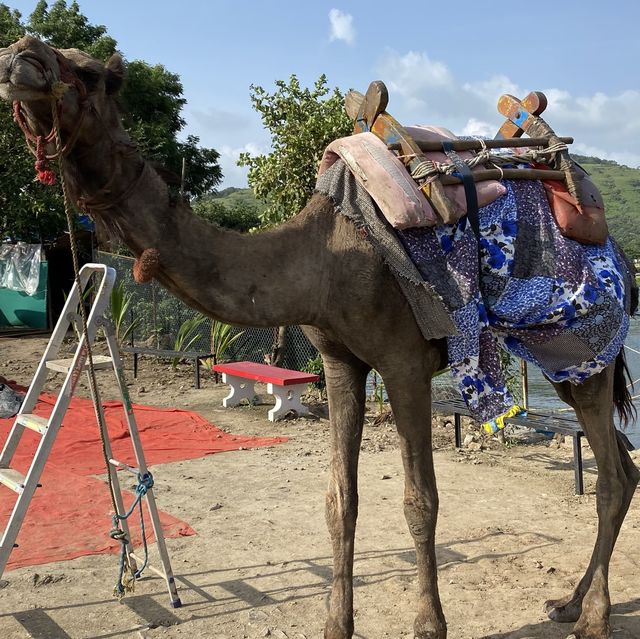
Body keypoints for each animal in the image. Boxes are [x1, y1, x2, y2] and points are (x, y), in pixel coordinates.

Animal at [0, 36, 636, 639]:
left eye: (93, 75)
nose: (19, 57)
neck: (323, 257)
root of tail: (622, 257)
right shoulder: (339, 361)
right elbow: (340, 501)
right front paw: (336, 623)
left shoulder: (404, 363)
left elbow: (420, 501)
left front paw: (428, 625)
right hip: (559, 356)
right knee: (622, 469)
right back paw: (567, 603)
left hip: (588, 341)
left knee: (609, 475)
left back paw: (592, 617)